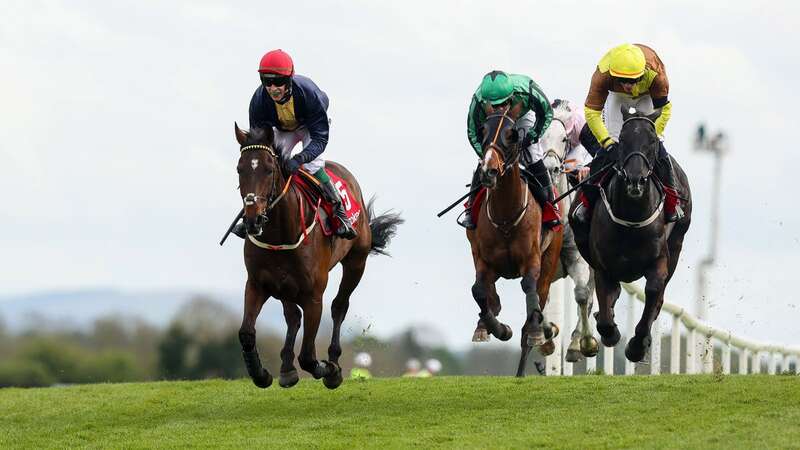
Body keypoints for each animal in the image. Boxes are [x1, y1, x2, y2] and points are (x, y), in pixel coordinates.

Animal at [234, 124, 404, 390]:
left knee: (339, 306)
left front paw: (329, 369)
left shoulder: (313, 295)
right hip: (284, 285)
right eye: (239, 169)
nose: (253, 220)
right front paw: (260, 374)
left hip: (356, 262)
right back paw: (286, 368)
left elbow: (308, 355)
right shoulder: (257, 284)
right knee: (293, 317)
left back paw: (332, 359)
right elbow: (246, 333)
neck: (280, 234)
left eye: (269, 169)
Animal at [466, 104, 564, 376]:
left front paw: (537, 330)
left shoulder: (532, 260)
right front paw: (495, 328)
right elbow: (478, 290)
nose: (488, 170)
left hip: (550, 263)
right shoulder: (483, 260)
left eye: (511, 135)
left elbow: (529, 290)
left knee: (535, 305)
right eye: (482, 130)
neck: (506, 218)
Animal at [568, 108, 692, 362]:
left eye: (652, 141)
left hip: (677, 244)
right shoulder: (603, 267)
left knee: (659, 296)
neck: (632, 221)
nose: (636, 179)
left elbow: (654, 290)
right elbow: (605, 315)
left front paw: (637, 345)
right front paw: (610, 334)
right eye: (623, 140)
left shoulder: (660, 261)